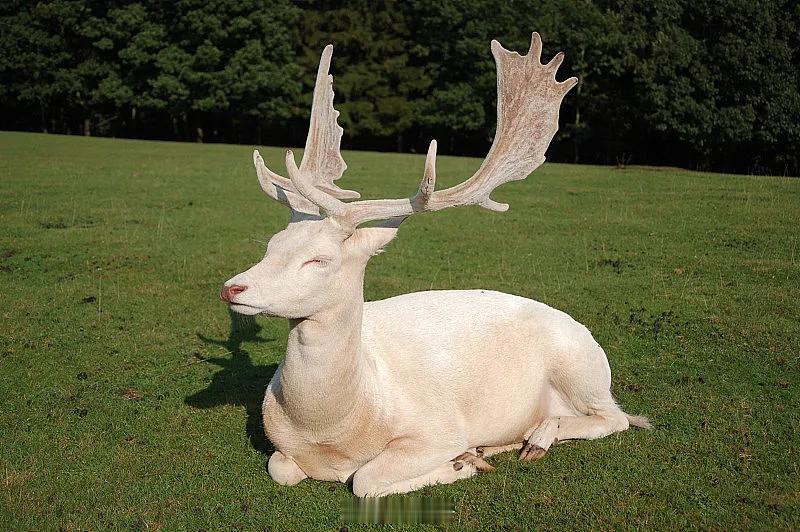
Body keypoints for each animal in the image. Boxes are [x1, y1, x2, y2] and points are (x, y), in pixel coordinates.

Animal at [219, 33, 651, 498]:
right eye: (272, 245)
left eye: (319, 259)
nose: (232, 287)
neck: (333, 432)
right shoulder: (281, 446)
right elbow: (280, 468)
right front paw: (472, 458)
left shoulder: (439, 428)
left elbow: (366, 480)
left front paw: (461, 463)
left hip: (580, 366)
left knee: (617, 417)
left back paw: (535, 436)